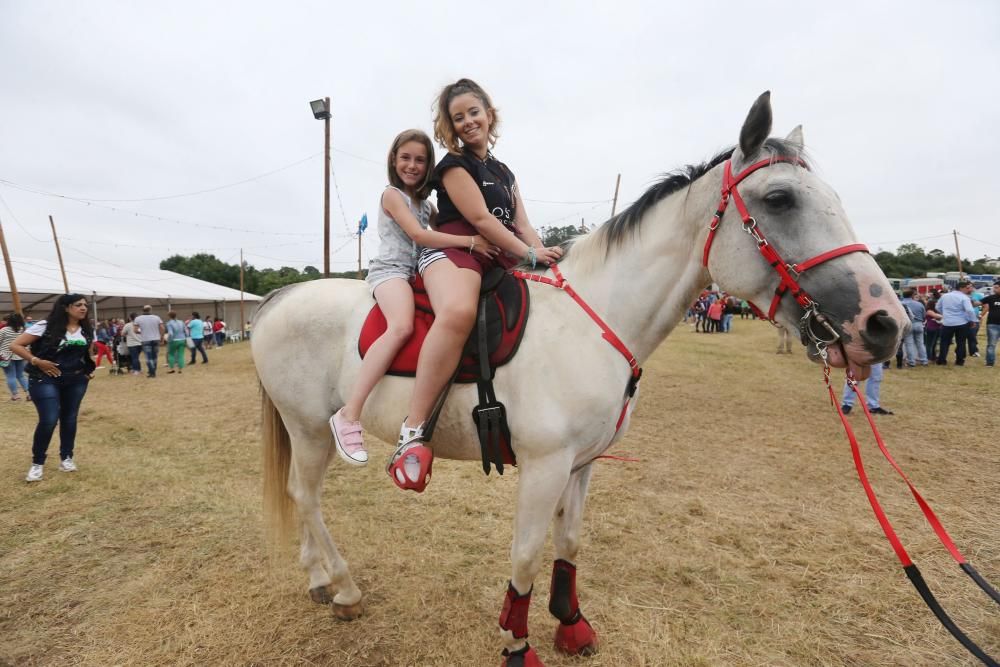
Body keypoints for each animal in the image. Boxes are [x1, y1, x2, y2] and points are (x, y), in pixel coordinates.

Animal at [254, 94, 912, 667]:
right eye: (780, 198)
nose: (885, 323)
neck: (591, 321)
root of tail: (277, 299)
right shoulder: (543, 466)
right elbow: (524, 556)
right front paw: (517, 646)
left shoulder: (582, 463)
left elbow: (568, 544)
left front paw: (571, 624)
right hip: (311, 430)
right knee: (305, 496)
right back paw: (342, 587)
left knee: (300, 496)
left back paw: (318, 579)